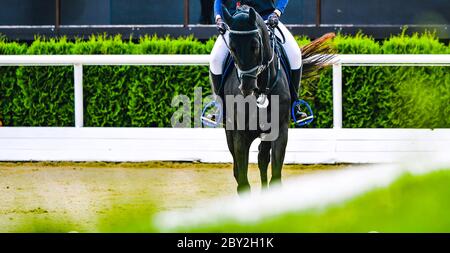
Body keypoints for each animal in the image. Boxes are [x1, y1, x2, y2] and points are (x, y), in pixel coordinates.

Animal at [219, 4, 334, 193]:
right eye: (232, 47)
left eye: (255, 45)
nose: (246, 87)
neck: (261, 89)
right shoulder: (239, 135)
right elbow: (242, 181)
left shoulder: (279, 131)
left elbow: (275, 177)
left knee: (262, 159)